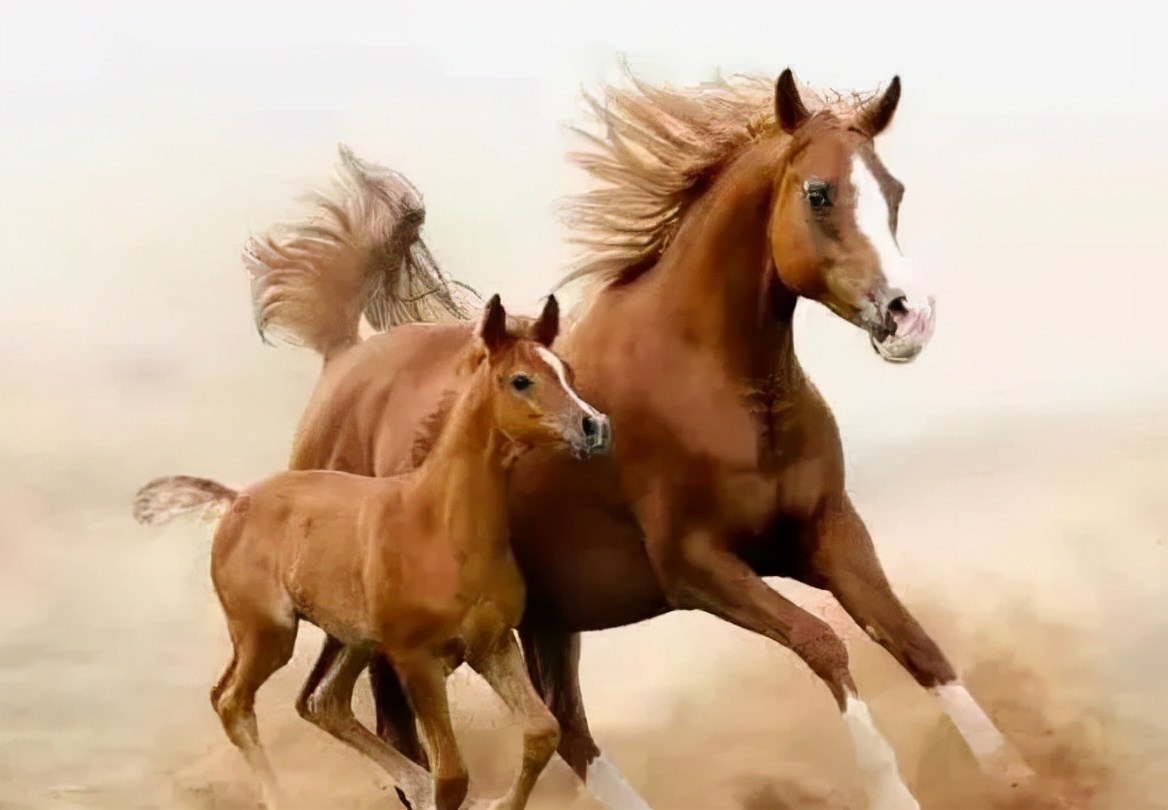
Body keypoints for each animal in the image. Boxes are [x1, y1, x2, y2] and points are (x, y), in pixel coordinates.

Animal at [132, 294, 612, 810]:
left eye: (567, 371)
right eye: (520, 380)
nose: (594, 426)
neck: (439, 526)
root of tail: (236, 498)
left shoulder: (493, 644)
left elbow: (542, 732)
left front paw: (497, 802)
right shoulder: (415, 658)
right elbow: (453, 776)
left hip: (351, 640)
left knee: (323, 702)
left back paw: (411, 785)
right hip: (268, 633)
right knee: (232, 702)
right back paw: (281, 797)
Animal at [241, 68, 1040, 809]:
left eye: (894, 191)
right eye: (818, 193)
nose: (910, 317)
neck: (722, 389)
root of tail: (341, 360)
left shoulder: (828, 532)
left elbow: (913, 640)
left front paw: (1019, 775)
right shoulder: (697, 566)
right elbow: (826, 645)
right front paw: (895, 792)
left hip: (545, 620)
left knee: (565, 727)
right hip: (394, 634)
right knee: (404, 731)